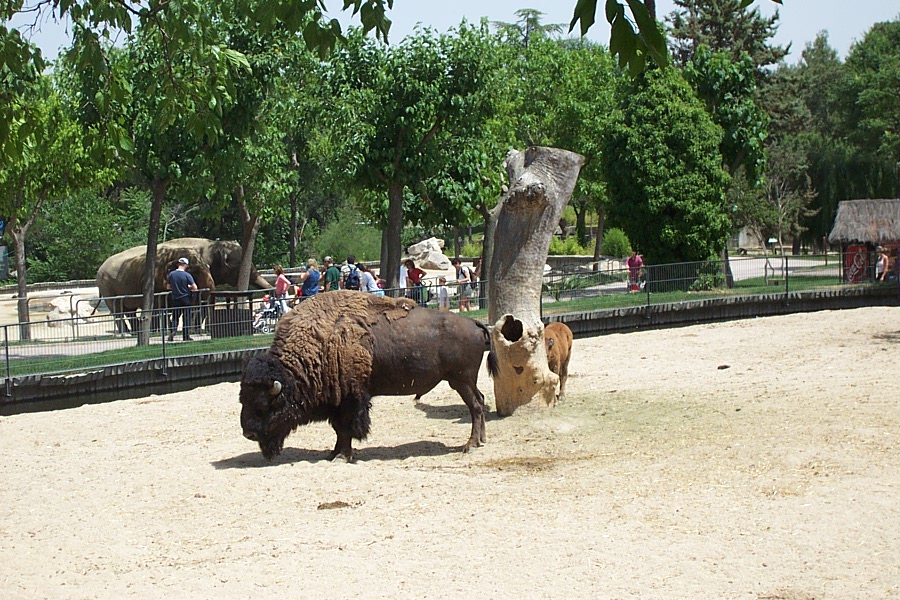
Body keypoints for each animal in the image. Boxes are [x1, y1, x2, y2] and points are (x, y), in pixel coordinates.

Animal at [239, 291, 490, 462]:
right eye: (243, 399)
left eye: (263, 405)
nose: (248, 433)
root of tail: (474, 322)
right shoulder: (337, 402)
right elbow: (339, 429)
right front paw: (333, 454)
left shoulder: (351, 398)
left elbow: (347, 428)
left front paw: (343, 456)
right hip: (465, 381)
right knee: (480, 400)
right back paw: (481, 441)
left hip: (461, 381)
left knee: (476, 406)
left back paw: (470, 445)